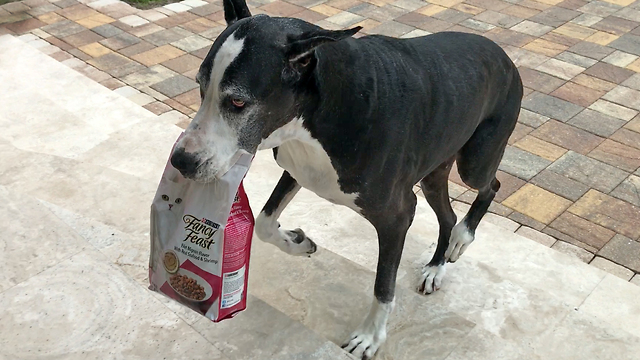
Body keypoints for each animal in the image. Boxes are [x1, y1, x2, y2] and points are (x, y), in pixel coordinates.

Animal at [170, 0, 520, 356]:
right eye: (200, 86)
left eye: (238, 101)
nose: (180, 160)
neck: (328, 107)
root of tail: (501, 53)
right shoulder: (298, 169)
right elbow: (265, 223)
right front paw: (297, 242)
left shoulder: (398, 215)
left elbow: (383, 285)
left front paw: (370, 336)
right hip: (435, 172)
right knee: (447, 214)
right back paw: (436, 267)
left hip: (475, 162)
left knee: (491, 186)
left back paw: (462, 237)